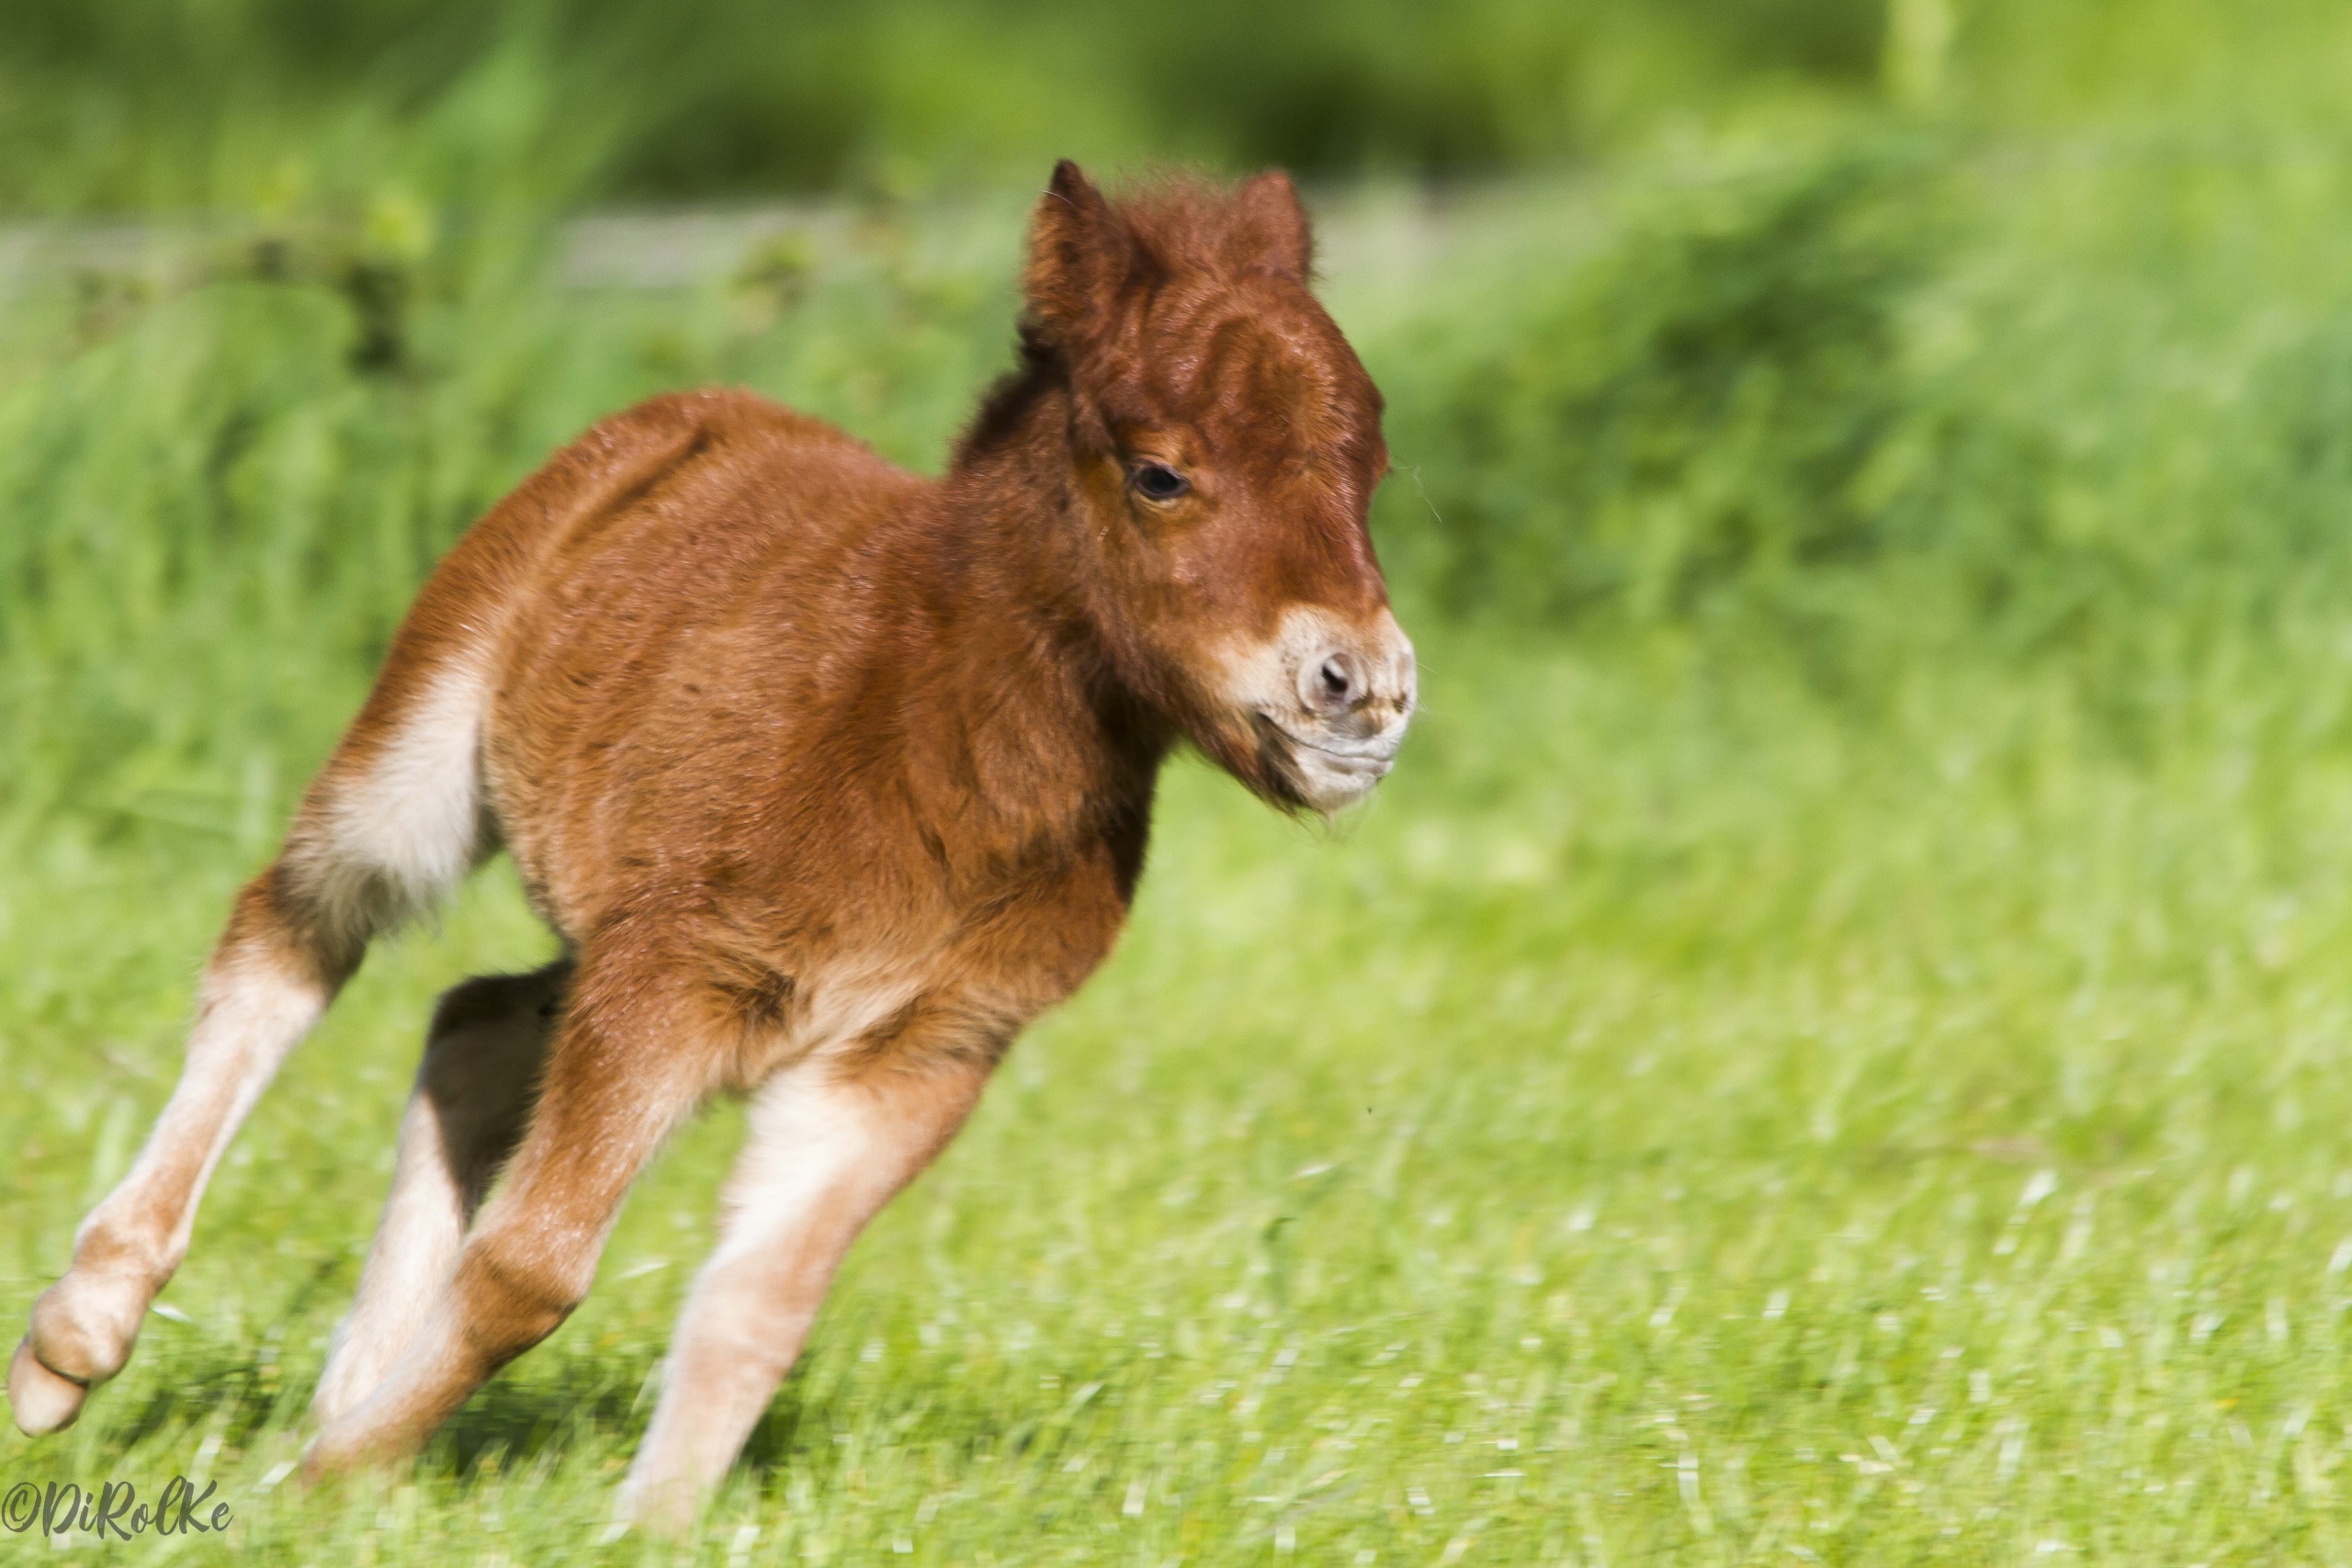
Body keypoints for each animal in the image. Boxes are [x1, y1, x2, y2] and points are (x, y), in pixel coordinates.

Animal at [9, 160, 1411, 1523]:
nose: (1365, 690)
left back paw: (348, 1374)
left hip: (614, 919)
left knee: (473, 1017)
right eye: (1160, 473)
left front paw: (625, 1528)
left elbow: (758, 1307)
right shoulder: (675, 972)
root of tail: (700, 410)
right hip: (426, 750)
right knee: (292, 937)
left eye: (1370, 477)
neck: (938, 720)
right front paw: (315, 1488)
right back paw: (77, 1343)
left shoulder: (920, 1046)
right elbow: (531, 1264)